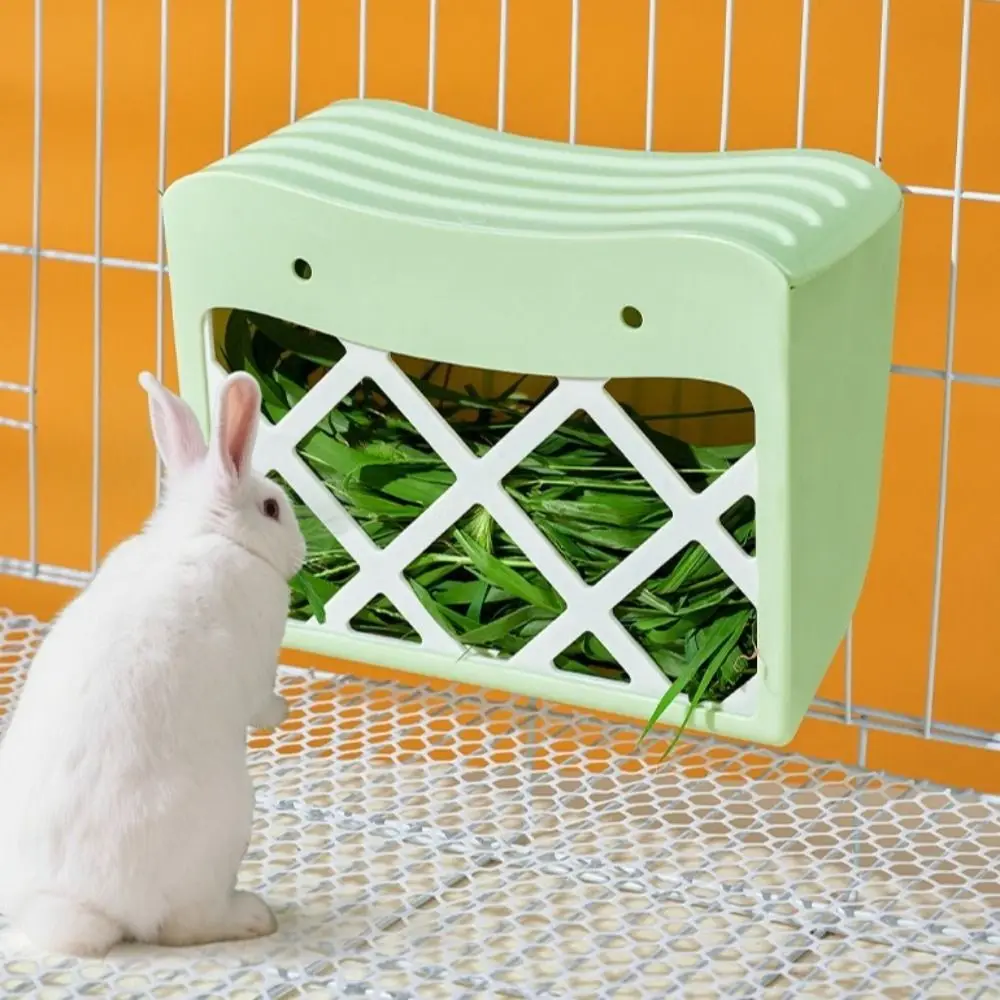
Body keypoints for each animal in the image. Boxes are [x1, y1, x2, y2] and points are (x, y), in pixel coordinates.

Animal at [0, 368, 306, 957]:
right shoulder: (258, 664)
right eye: (273, 508)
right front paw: (282, 711)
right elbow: (262, 702)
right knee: (181, 926)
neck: (203, 534)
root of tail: (76, 908)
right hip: (228, 820)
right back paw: (253, 918)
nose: (302, 553)